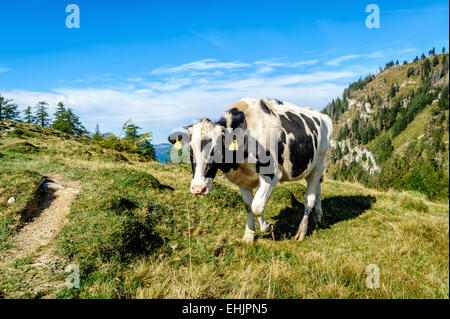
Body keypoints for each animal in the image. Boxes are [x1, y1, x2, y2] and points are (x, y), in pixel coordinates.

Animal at [171, 97, 332, 242]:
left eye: (216, 150)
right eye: (190, 150)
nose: (198, 188)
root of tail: (322, 116)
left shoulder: (271, 174)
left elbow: (257, 206)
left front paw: (268, 226)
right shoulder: (242, 179)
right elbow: (248, 206)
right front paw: (249, 235)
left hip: (320, 162)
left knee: (309, 198)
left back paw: (302, 231)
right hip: (311, 168)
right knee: (317, 190)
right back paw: (319, 216)